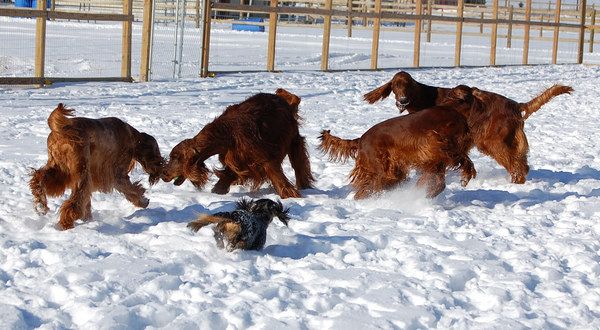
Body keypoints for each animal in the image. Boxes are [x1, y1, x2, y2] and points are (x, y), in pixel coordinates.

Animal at [29, 104, 163, 231]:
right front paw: (143, 201)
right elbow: (132, 190)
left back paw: (41, 204)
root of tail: (61, 130)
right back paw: (66, 223)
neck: (133, 137)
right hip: (81, 173)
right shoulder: (117, 175)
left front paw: (88, 219)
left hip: (59, 169)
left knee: (38, 177)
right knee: (73, 203)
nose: (162, 167)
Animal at [162, 87, 316, 200]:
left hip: (294, 142)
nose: (163, 174)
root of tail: (283, 100)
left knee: (300, 166)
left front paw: (290, 196)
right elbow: (226, 177)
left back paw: (304, 186)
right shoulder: (236, 161)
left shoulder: (266, 159)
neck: (227, 134)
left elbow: (280, 181)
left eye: (175, 157)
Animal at [318, 85, 478, 199]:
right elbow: (462, 159)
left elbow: (439, 181)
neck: (452, 109)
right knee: (365, 190)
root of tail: (360, 139)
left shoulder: (435, 158)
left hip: (393, 172)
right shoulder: (436, 145)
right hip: (379, 170)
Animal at [360, 70, 572, 183]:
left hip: (492, 141)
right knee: (523, 164)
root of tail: (516, 105)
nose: (402, 100)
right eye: (395, 86)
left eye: (408, 86)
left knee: (517, 166)